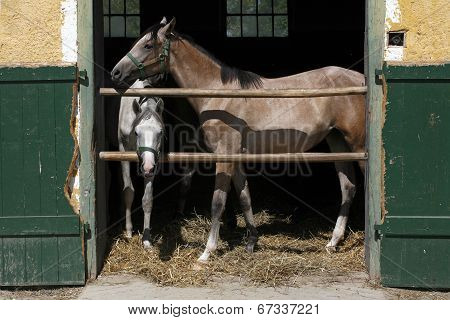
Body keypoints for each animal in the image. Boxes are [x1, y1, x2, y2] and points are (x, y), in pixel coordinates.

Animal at [111, 18, 366, 262]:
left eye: (148, 45)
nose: (115, 73)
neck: (217, 94)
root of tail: (361, 78)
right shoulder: (235, 157)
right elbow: (244, 197)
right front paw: (251, 241)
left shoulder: (224, 156)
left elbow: (218, 203)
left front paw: (207, 253)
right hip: (338, 143)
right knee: (348, 188)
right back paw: (333, 242)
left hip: (358, 146)